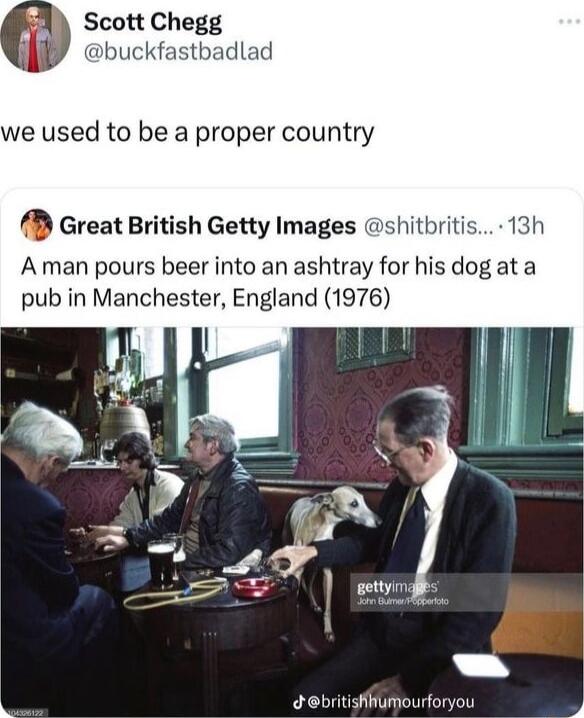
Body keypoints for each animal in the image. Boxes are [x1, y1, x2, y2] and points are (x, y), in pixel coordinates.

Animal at [284, 486, 384, 644]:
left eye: (363, 499)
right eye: (354, 503)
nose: (380, 521)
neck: (325, 523)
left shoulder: (327, 573)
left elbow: (328, 607)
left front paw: (328, 630)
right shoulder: (297, 568)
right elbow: (295, 597)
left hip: (315, 568)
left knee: (309, 585)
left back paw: (314, 603)